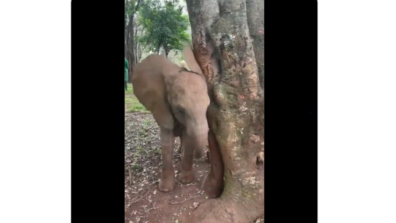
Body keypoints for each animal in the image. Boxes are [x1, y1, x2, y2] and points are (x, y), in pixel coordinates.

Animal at [131, 44, 210, 192]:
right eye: (181, 110)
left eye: (208, 107)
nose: (204, 155)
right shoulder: (161, 107)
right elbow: (167, 141)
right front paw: (165, 188)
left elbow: (188, 137)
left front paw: (186, 180)